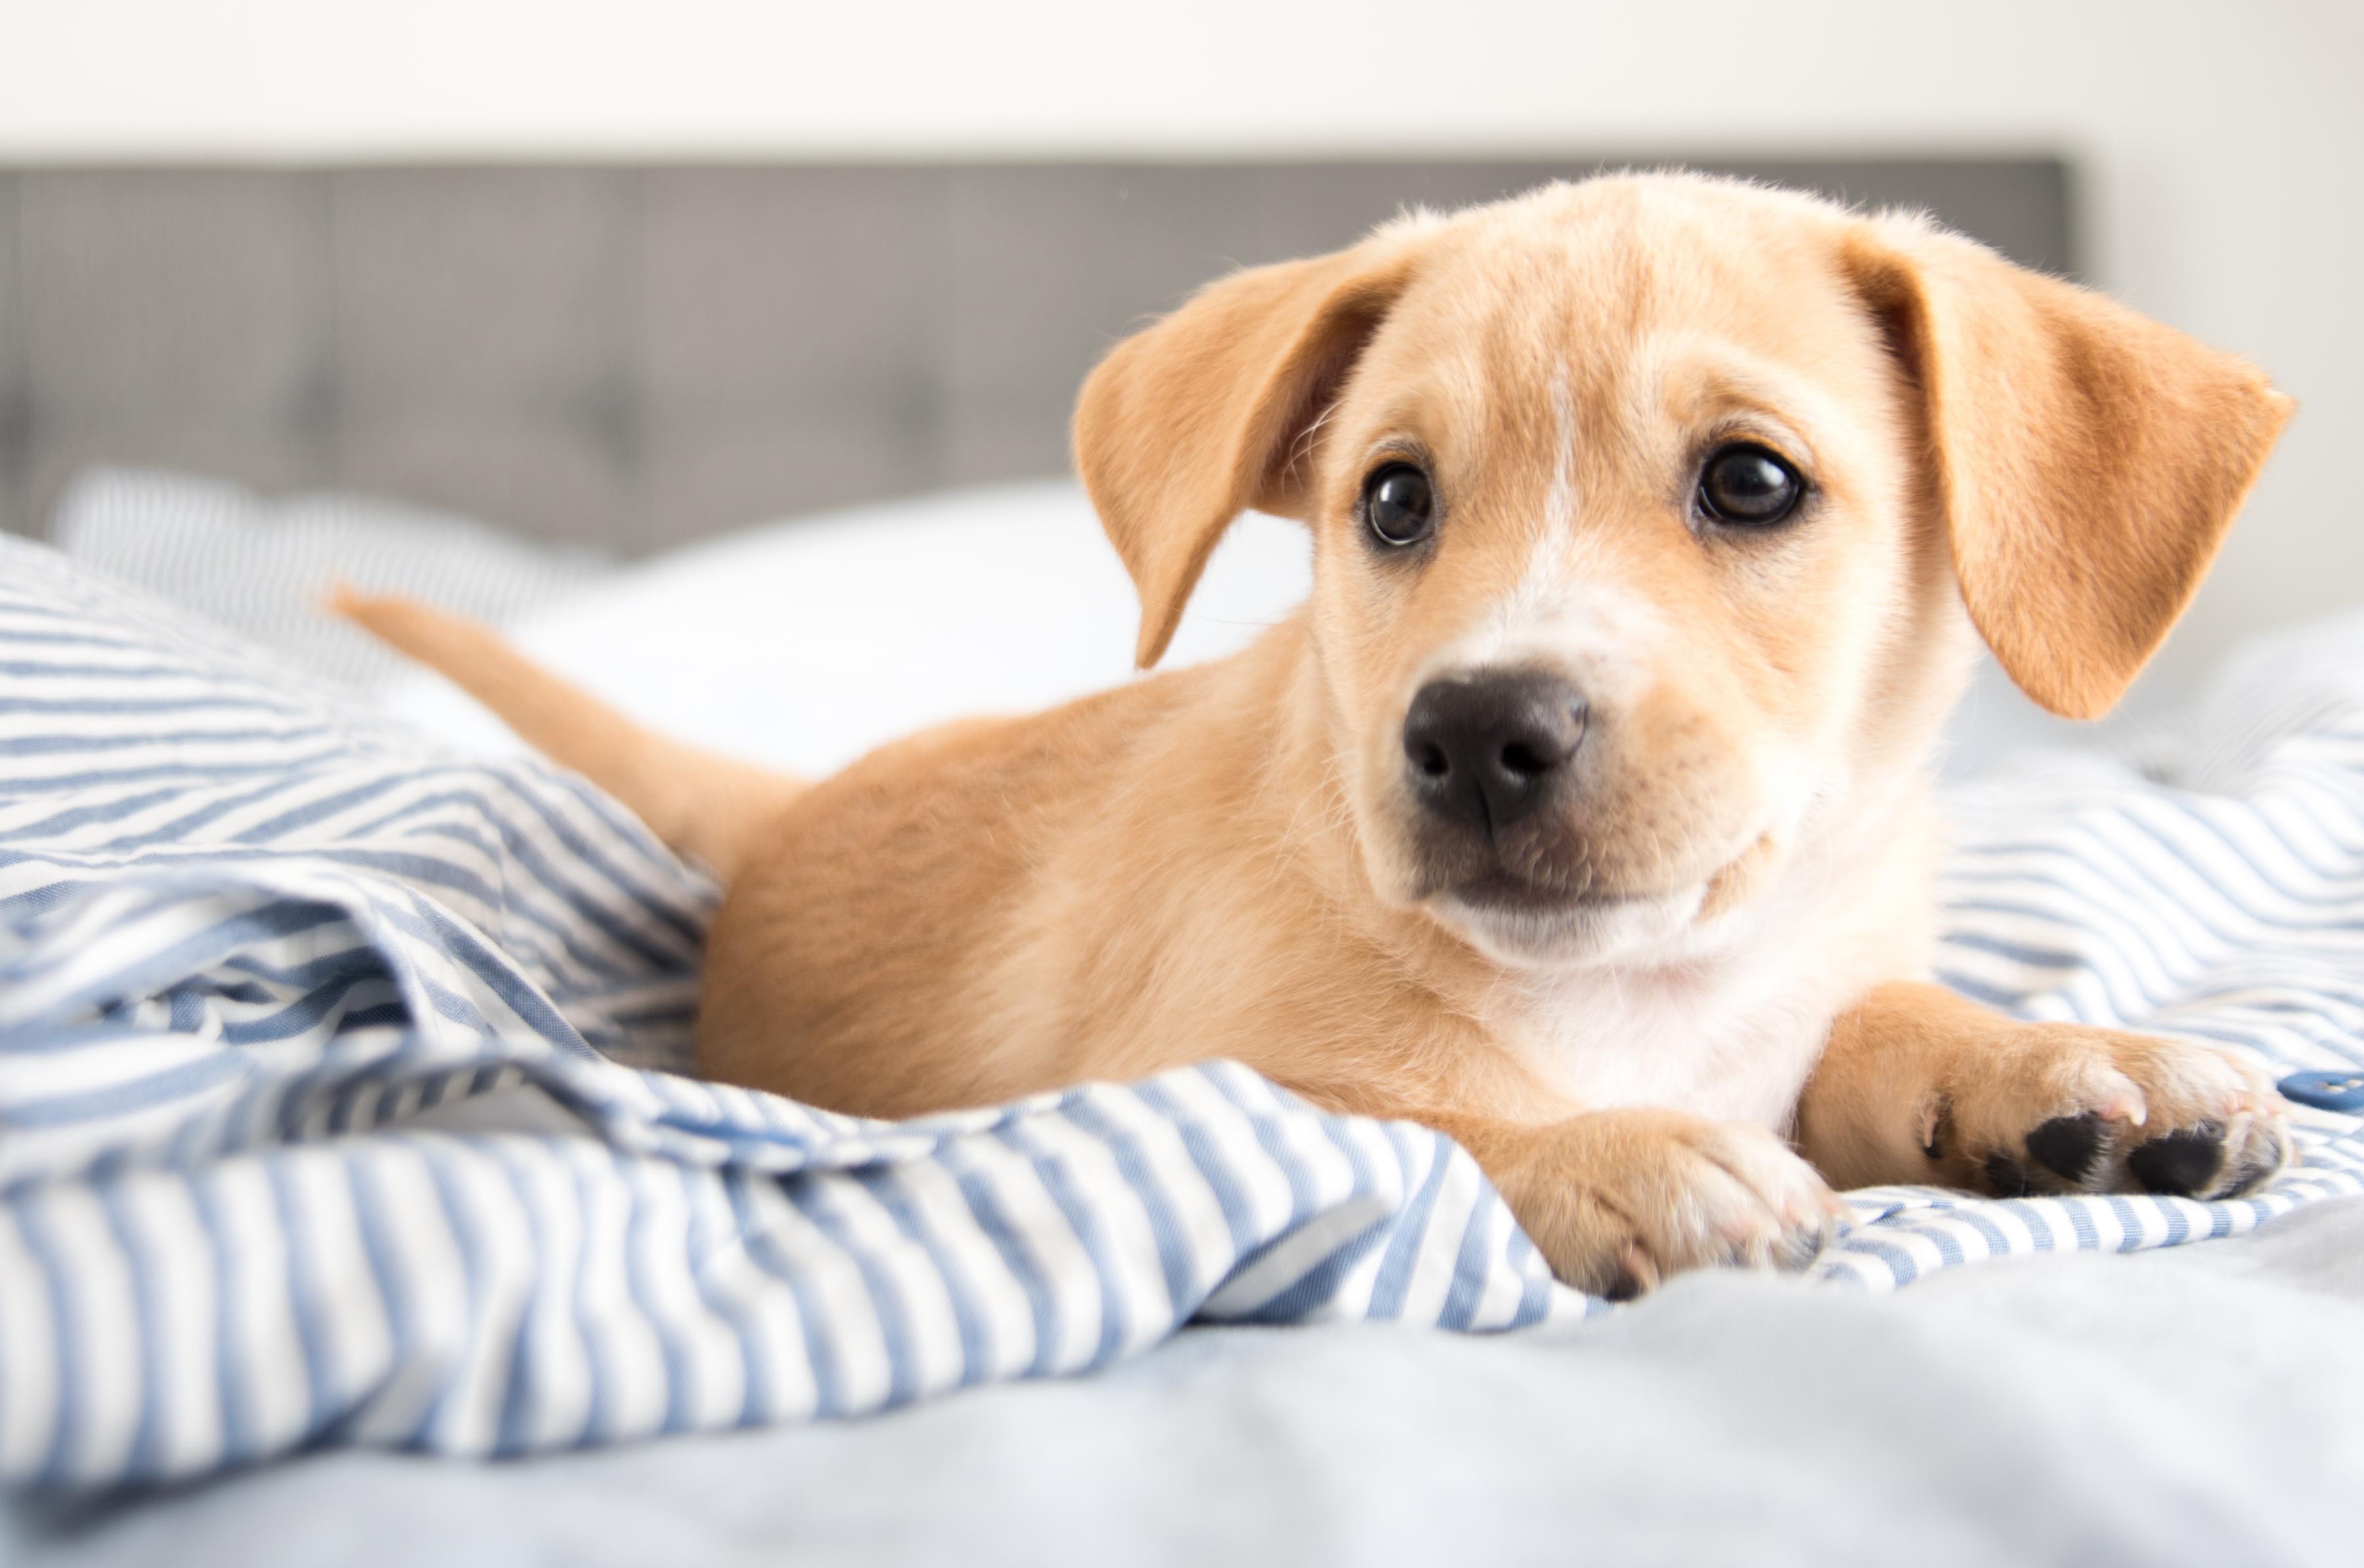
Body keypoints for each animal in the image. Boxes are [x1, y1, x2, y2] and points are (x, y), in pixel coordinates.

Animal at [343, 171, 2298, 1296]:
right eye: (1394, 500)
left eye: (1751, 482)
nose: (1478, 731)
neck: (1646, 993)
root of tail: (786, 803)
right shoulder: (1166, 1076)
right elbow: (1398, 1114)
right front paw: (1617, 1155)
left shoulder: (1807, 967)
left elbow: (1877, 1012)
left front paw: (2066, 1064)